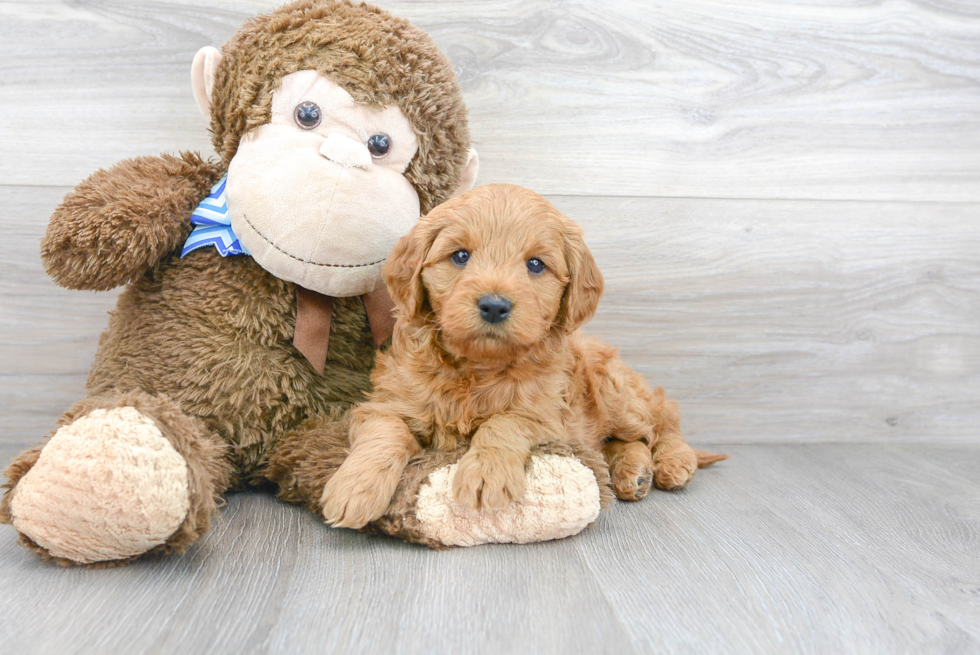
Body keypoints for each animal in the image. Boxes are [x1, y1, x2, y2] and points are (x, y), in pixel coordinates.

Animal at [322, 183, 720, 528]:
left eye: (536, 264)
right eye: (460, 256)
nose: (494, 306)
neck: (476, 368)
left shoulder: (547, 414)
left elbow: (505, 421)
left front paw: (486, 473)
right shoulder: (387, 402)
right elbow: (384, 431)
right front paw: (354, 488)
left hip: (615, 392)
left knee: (662, 419)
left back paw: (673, 462)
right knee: (625, 440)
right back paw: (633, 472)